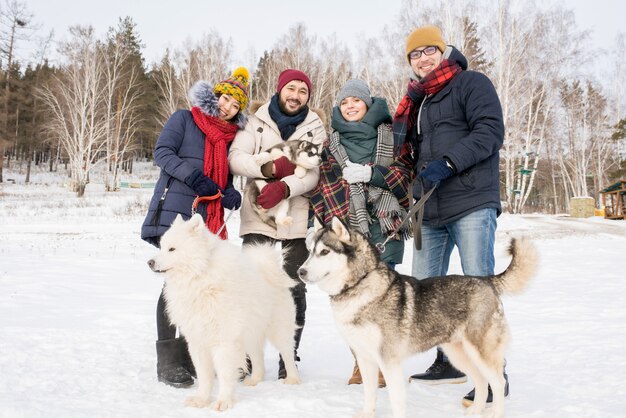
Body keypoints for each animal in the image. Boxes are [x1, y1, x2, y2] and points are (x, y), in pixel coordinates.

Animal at [149, 216, 300, 412]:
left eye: (172, 249)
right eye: (161, 247)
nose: (150, 262)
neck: (200, 277)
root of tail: (270, 267)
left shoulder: (224, 341)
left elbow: (224, 374)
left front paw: (223, 402)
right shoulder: (198, 341)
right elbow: (204, 376)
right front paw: (201, 400)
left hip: (278, 329)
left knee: (288, 353)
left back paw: (292, 379)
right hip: (250, 333)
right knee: (258, 357)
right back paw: (255, 380)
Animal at [298, 217, 536, 416]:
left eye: (325, 252)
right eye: (309, 251)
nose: (300, 272)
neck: (359, 284)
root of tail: (486, 280)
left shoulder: (389, 360)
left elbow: (396, 399)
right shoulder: (364, 357)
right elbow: (369, 393)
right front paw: (367, 413)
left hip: (481, 351)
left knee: (497, 383)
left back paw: (495, 412)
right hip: (458, 353)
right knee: (480, 381)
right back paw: (475, 411)